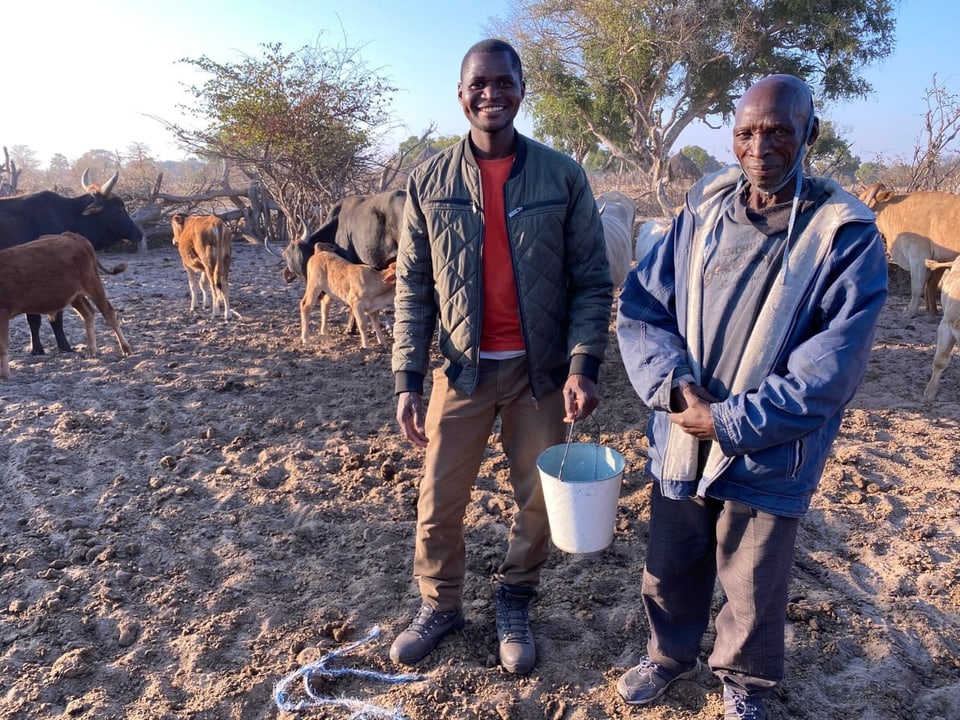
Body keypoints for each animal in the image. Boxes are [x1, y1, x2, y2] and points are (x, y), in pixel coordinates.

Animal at [0, 172, 142, 358]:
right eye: (118, 208)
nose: (138, 233)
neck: (62, 215)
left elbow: (41, 318)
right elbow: (42, 318)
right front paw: (50, 347)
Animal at [0, 232, 131, 380]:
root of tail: (72, 235)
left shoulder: (3, 312)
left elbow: (2, 346)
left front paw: (5, 374)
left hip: (93, 284)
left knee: (108, 312)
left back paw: (125, 348)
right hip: (74, 295)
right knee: (88, 313)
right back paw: (91, 350)